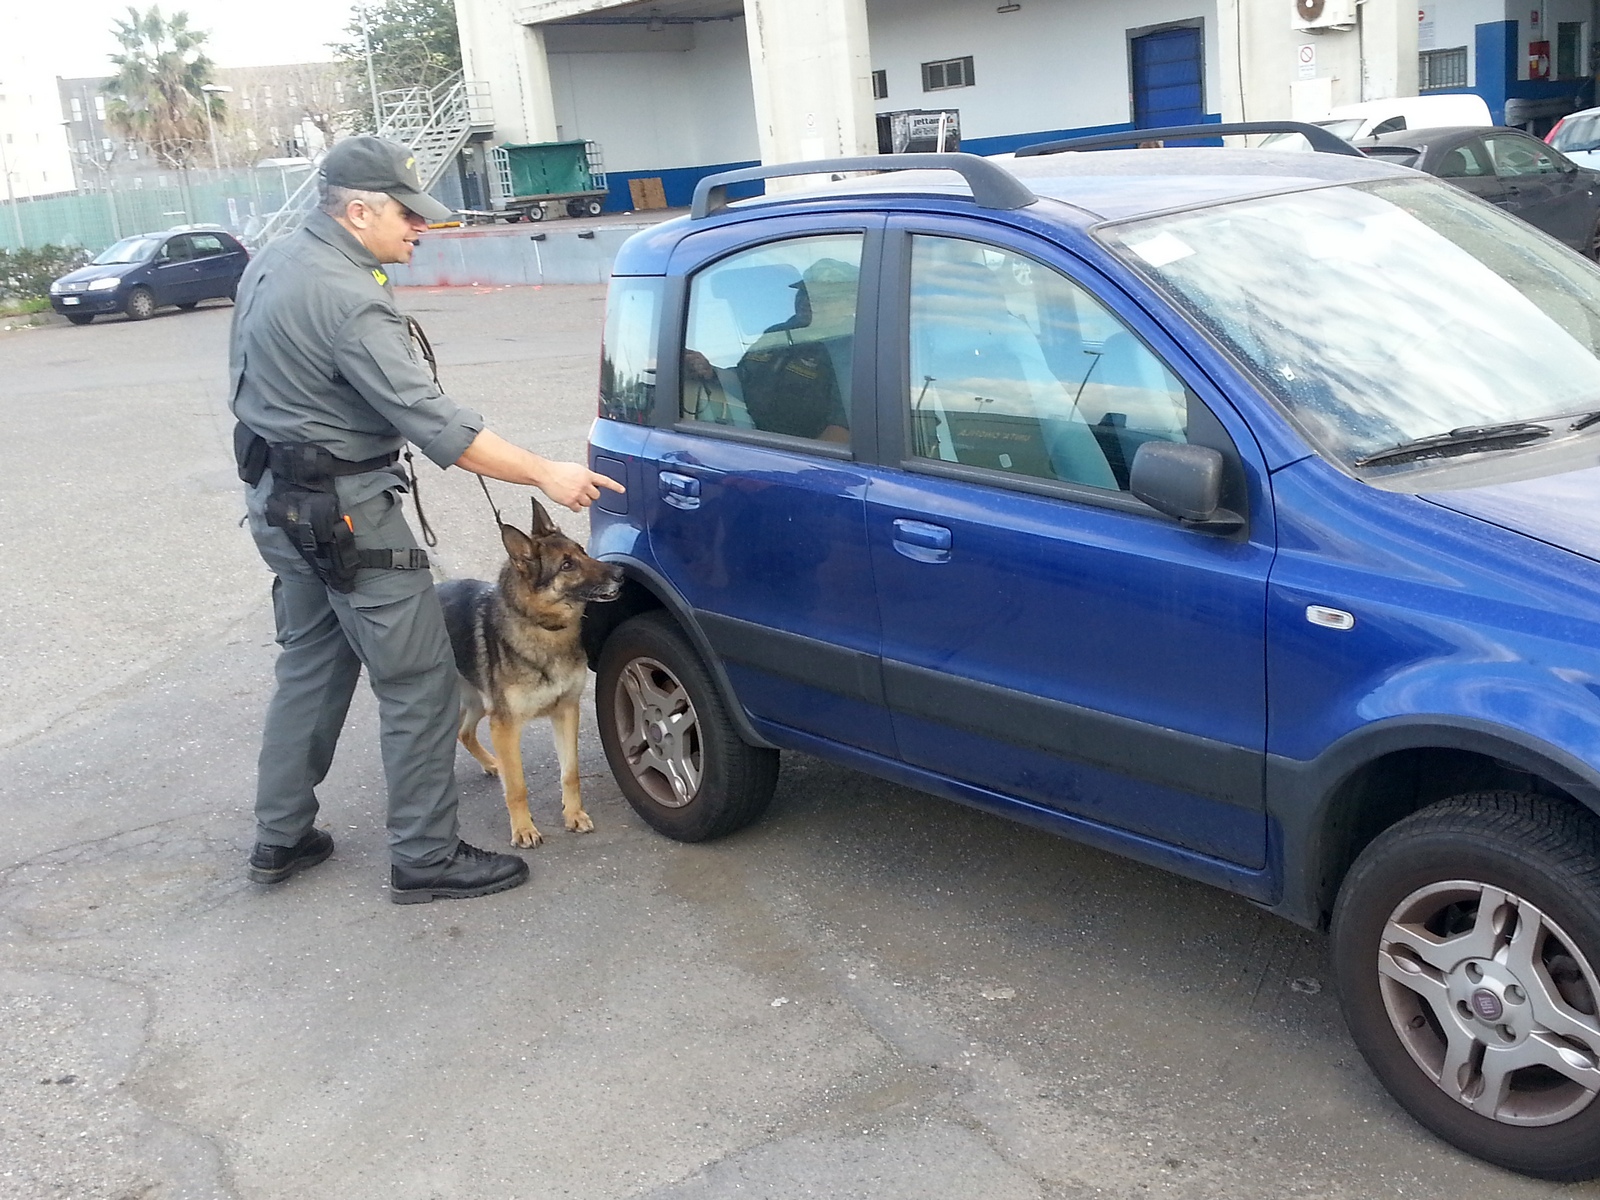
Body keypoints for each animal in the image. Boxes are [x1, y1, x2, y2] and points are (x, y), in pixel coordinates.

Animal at [438, 502, 624, 851]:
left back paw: (492, 763)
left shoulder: (566, 712)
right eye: (567, 565)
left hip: (479, 702)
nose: (621, 573)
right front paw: (523, 829)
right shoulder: (505, 725)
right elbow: (517, 786)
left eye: (581, 551)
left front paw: (573, 815)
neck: (544, 627)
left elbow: (570, 773)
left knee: (464, 732)